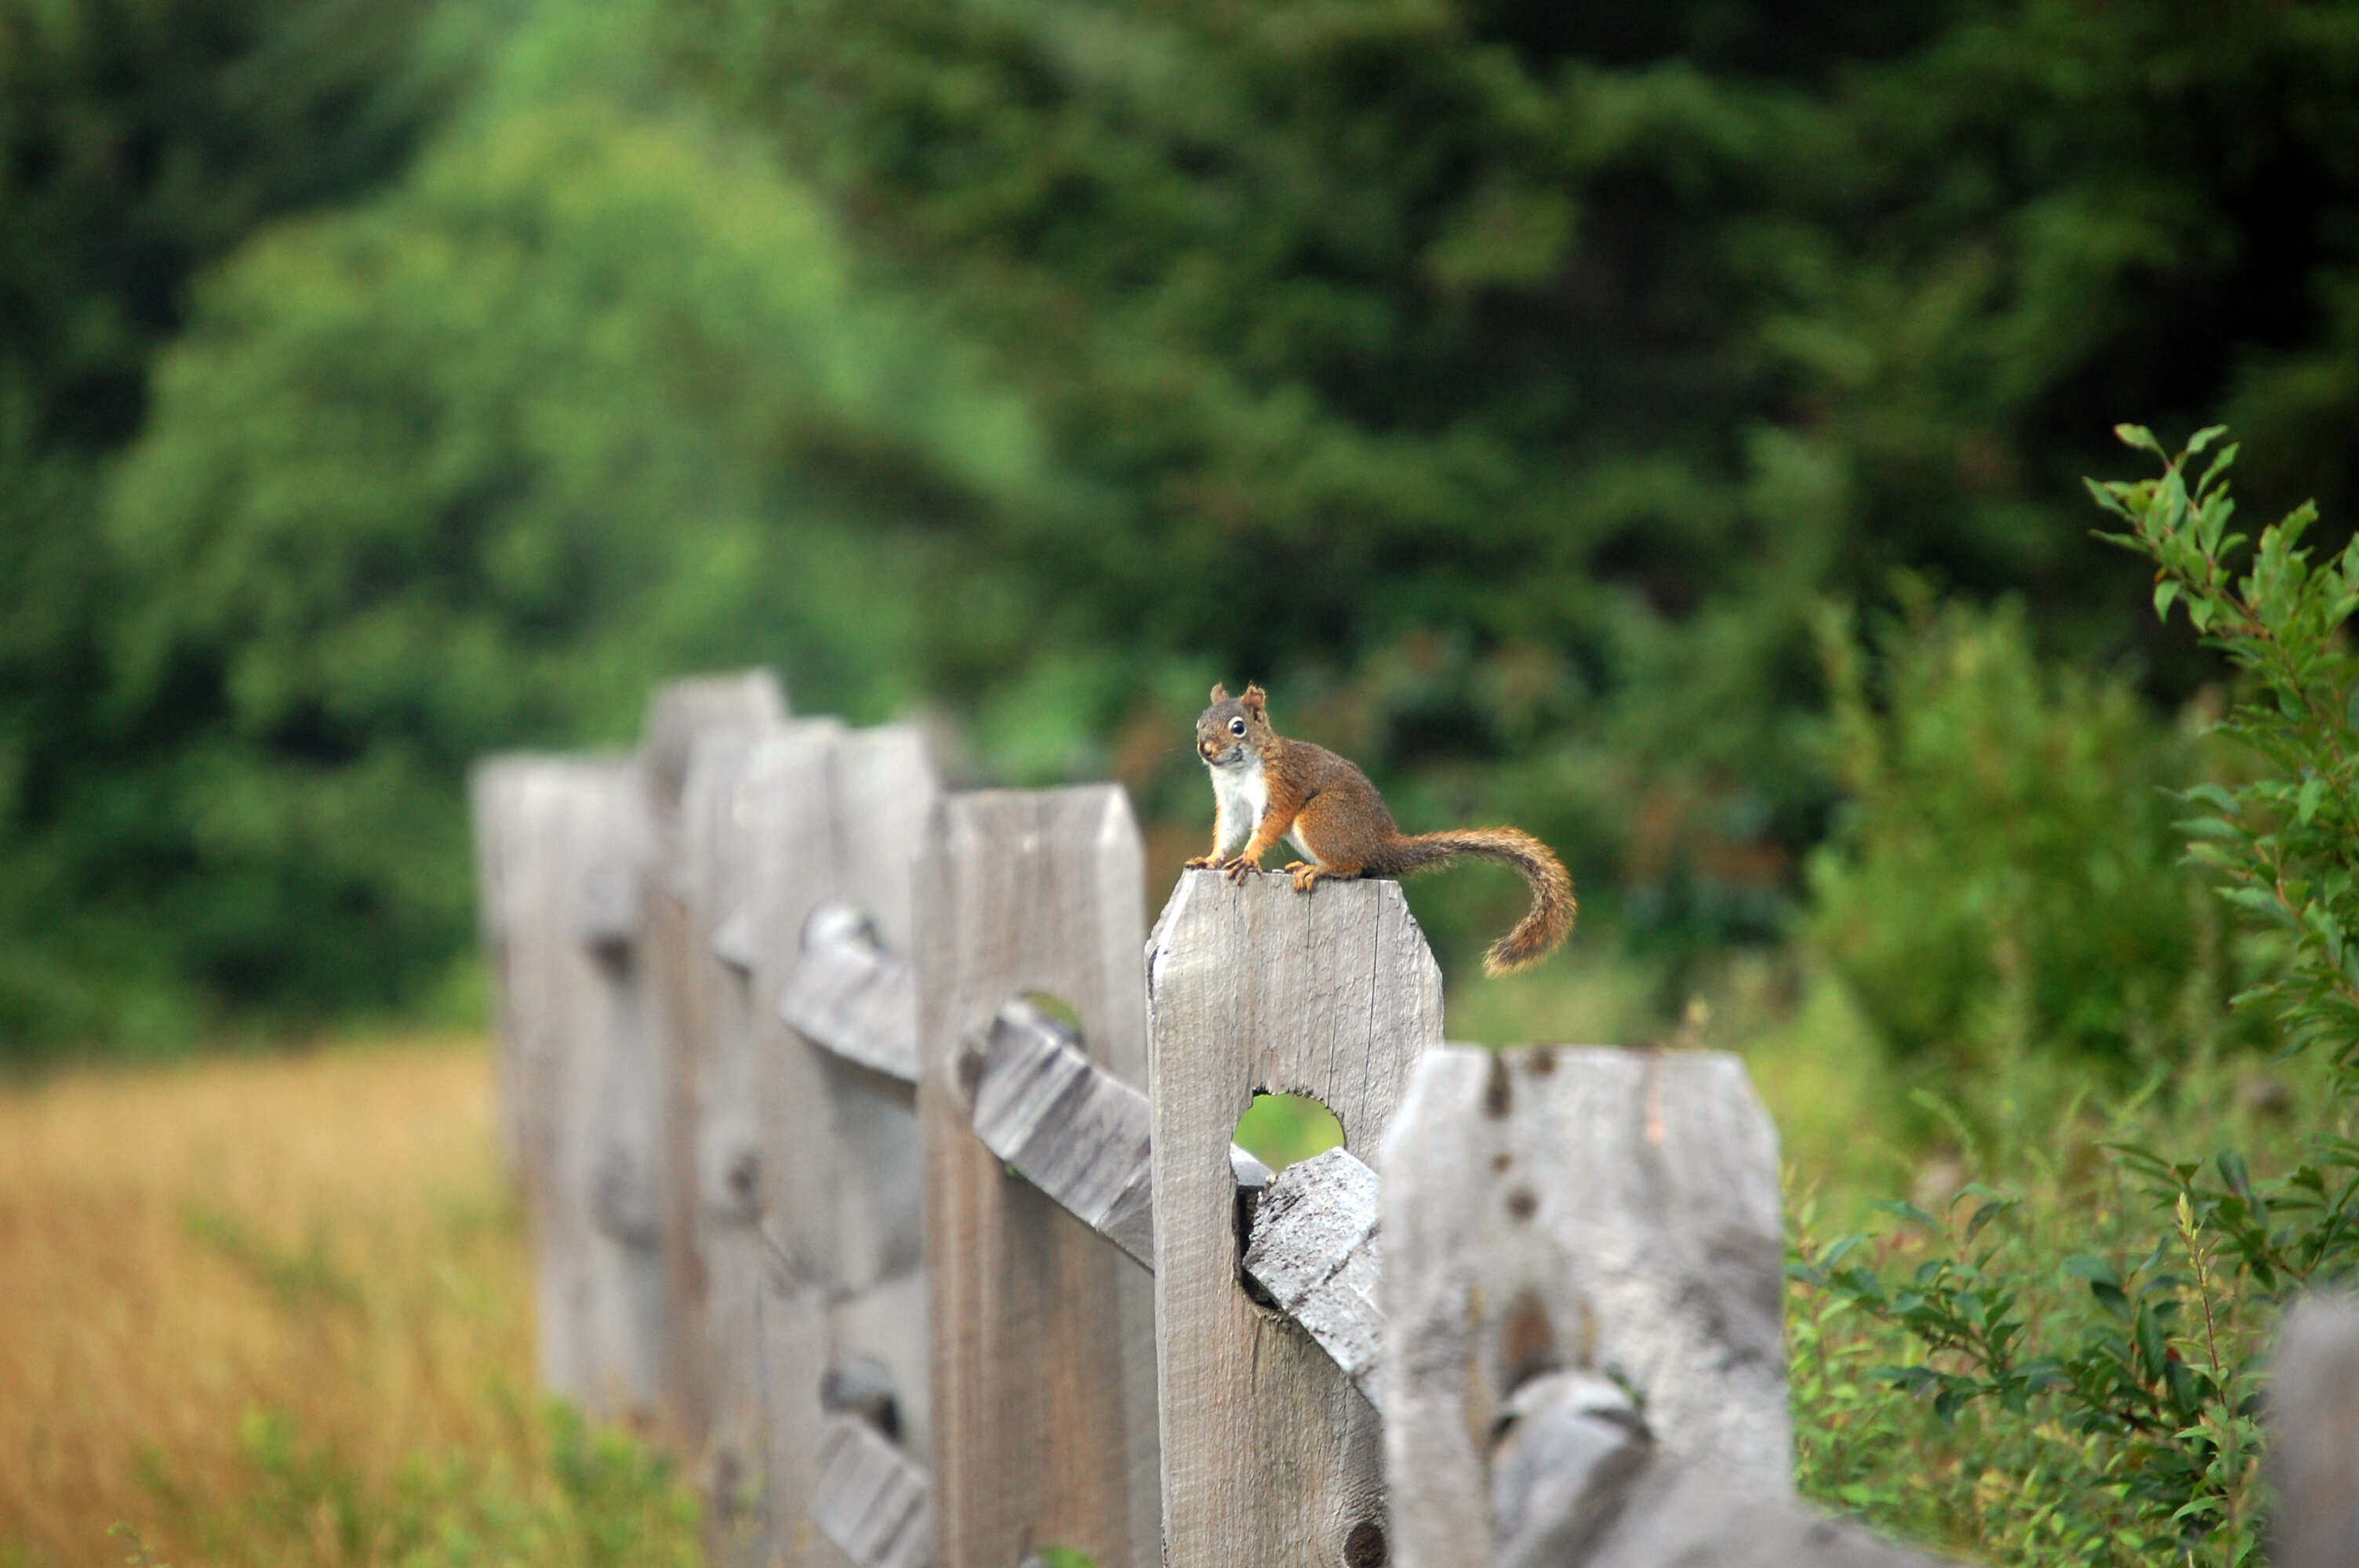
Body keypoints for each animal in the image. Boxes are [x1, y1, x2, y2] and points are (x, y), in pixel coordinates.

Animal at [1189, 684, 1576, 971]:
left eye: (1238, 727)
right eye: (1199, 724)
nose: (1205, 749)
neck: (1238, 771)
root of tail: (1382, 843)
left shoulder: (1284, 788)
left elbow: (1269, 827)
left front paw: (1249, 858)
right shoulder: (1232, 803)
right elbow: (1227, 832)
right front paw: (1210, 859)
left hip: (1320, 818)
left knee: (1353, 867)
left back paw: (1318, 869)